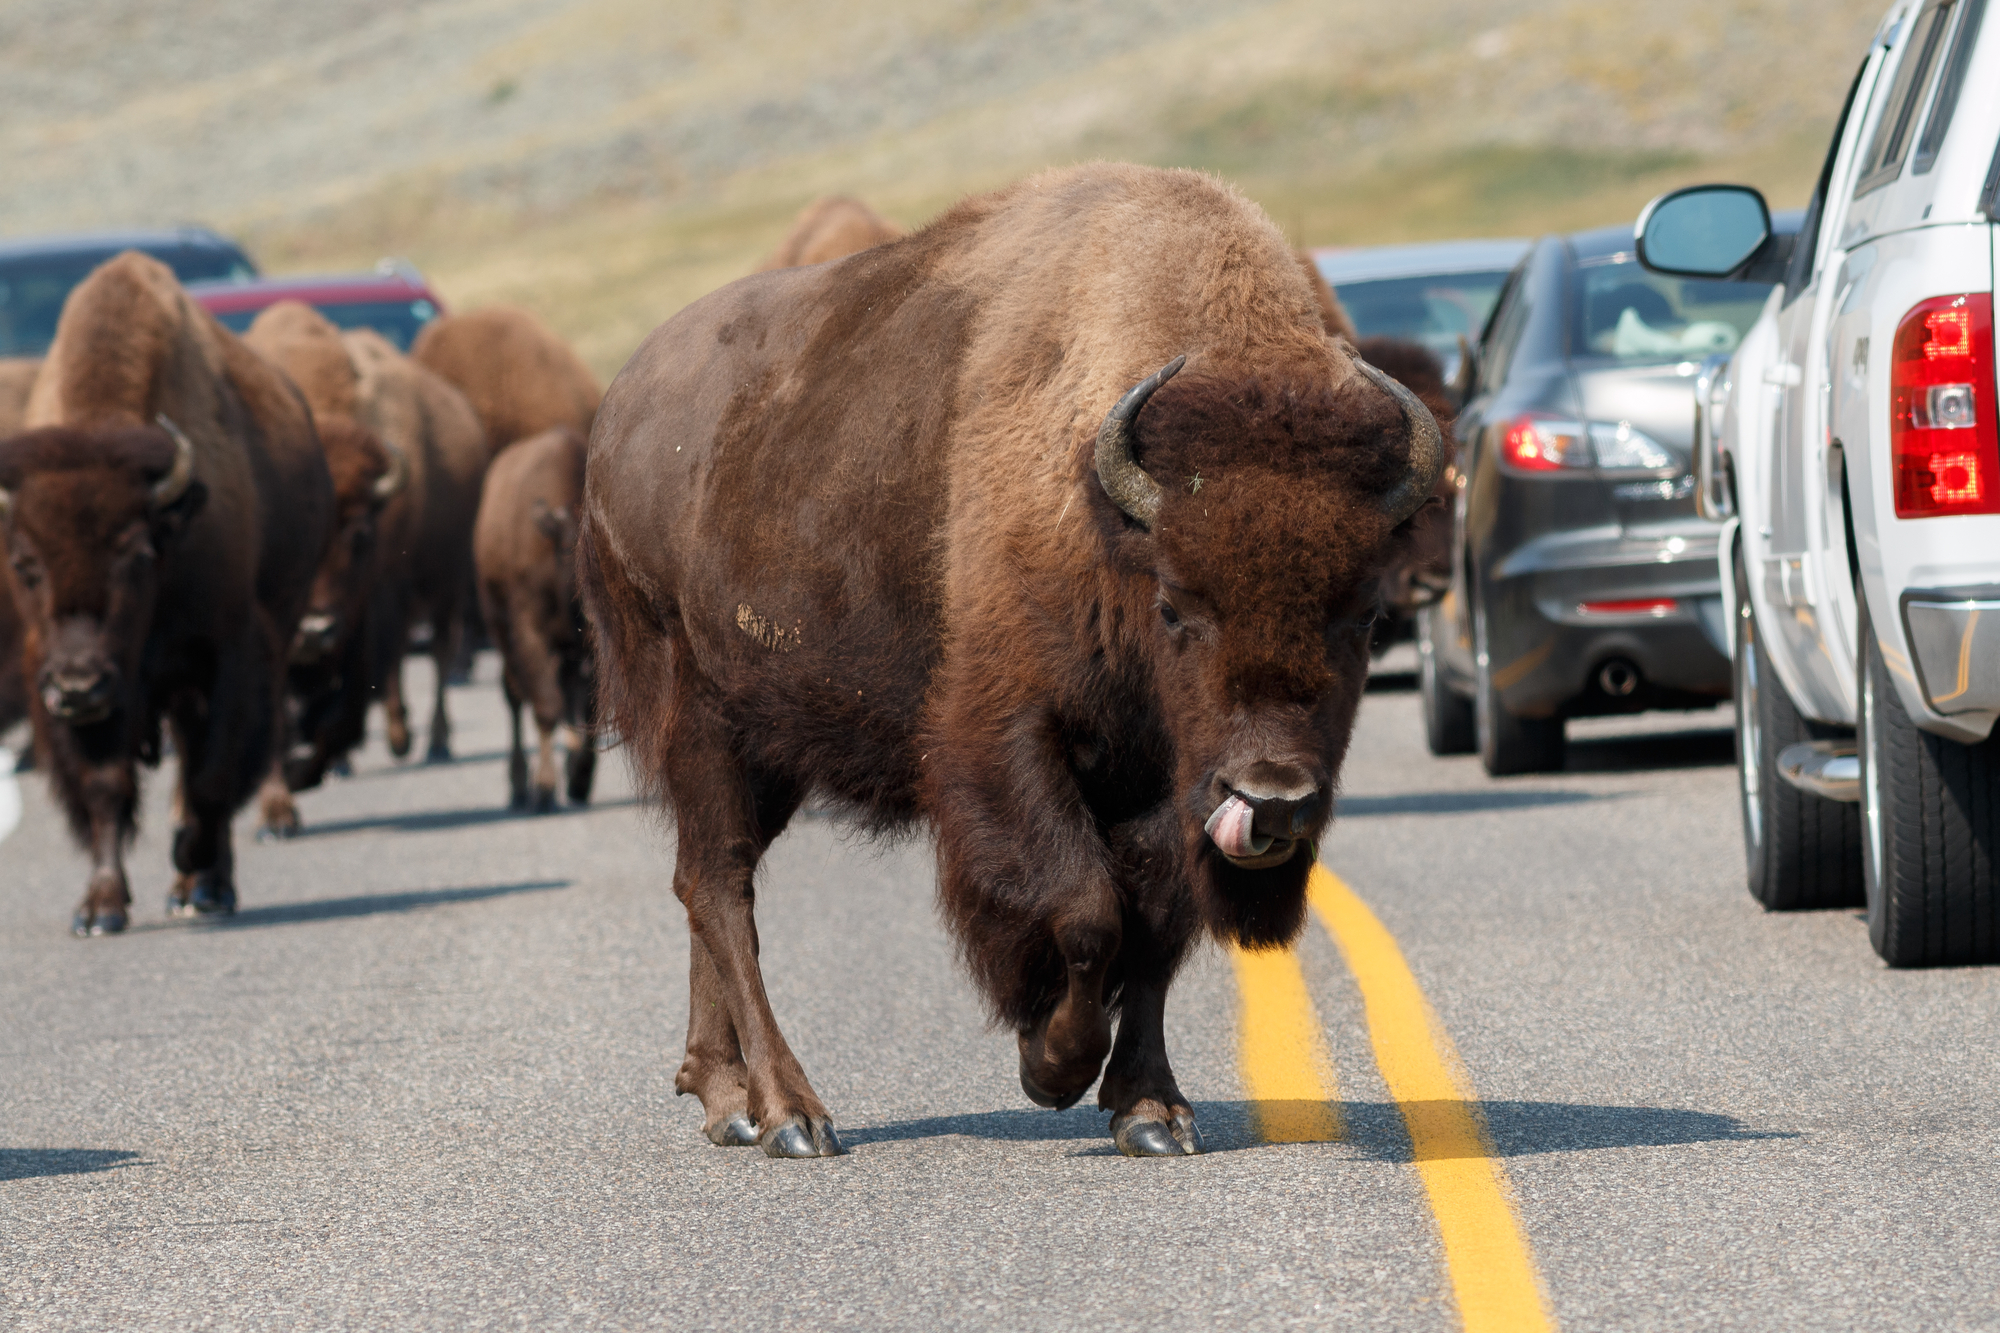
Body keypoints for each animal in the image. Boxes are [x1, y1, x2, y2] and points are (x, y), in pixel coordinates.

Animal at [0, 252, 332, 932]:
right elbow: (105, 786)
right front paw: (99, 908)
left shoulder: (225, 655)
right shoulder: (78, 692)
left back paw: (202, 886)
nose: (78, 686)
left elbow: (210, 779)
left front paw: (191, 866)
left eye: (136, 555)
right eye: (24, 562)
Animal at [476, 422, 592, 808]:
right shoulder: (529, 633)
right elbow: (546, 706)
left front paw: (580, 779)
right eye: (572, 552)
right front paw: (543, 787)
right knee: (515, 695)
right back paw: (518, 783)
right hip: (503, 632)